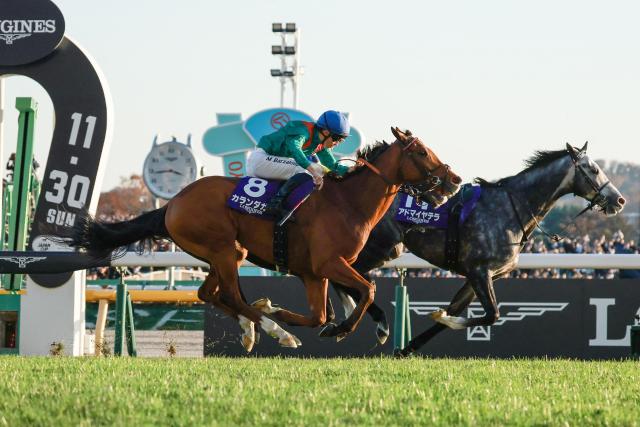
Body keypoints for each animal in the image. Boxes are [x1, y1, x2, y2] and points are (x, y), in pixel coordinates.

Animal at [70, 127, 462, 352]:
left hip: (228, 252)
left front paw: (316, 322)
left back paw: (253, 327)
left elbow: (321, 315)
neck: (347, 202)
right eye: (422, 152)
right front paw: (338, 328)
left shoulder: (314, 273)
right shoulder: (329, 264)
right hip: (222, 248)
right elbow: (368, 289)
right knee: (228, 294)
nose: (454, 180)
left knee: (209, 293)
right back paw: (273, 329)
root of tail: (172, 203)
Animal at [328, 142, 626, 355]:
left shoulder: (480, 277)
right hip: (382, 248)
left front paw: (411, 345)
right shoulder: (480, 271)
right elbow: (492, 315)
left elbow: (454, 312)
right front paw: (442, 318)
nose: (619, 200)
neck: (511, 209)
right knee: (348, 277)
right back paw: (362, 322)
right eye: (594, 169)